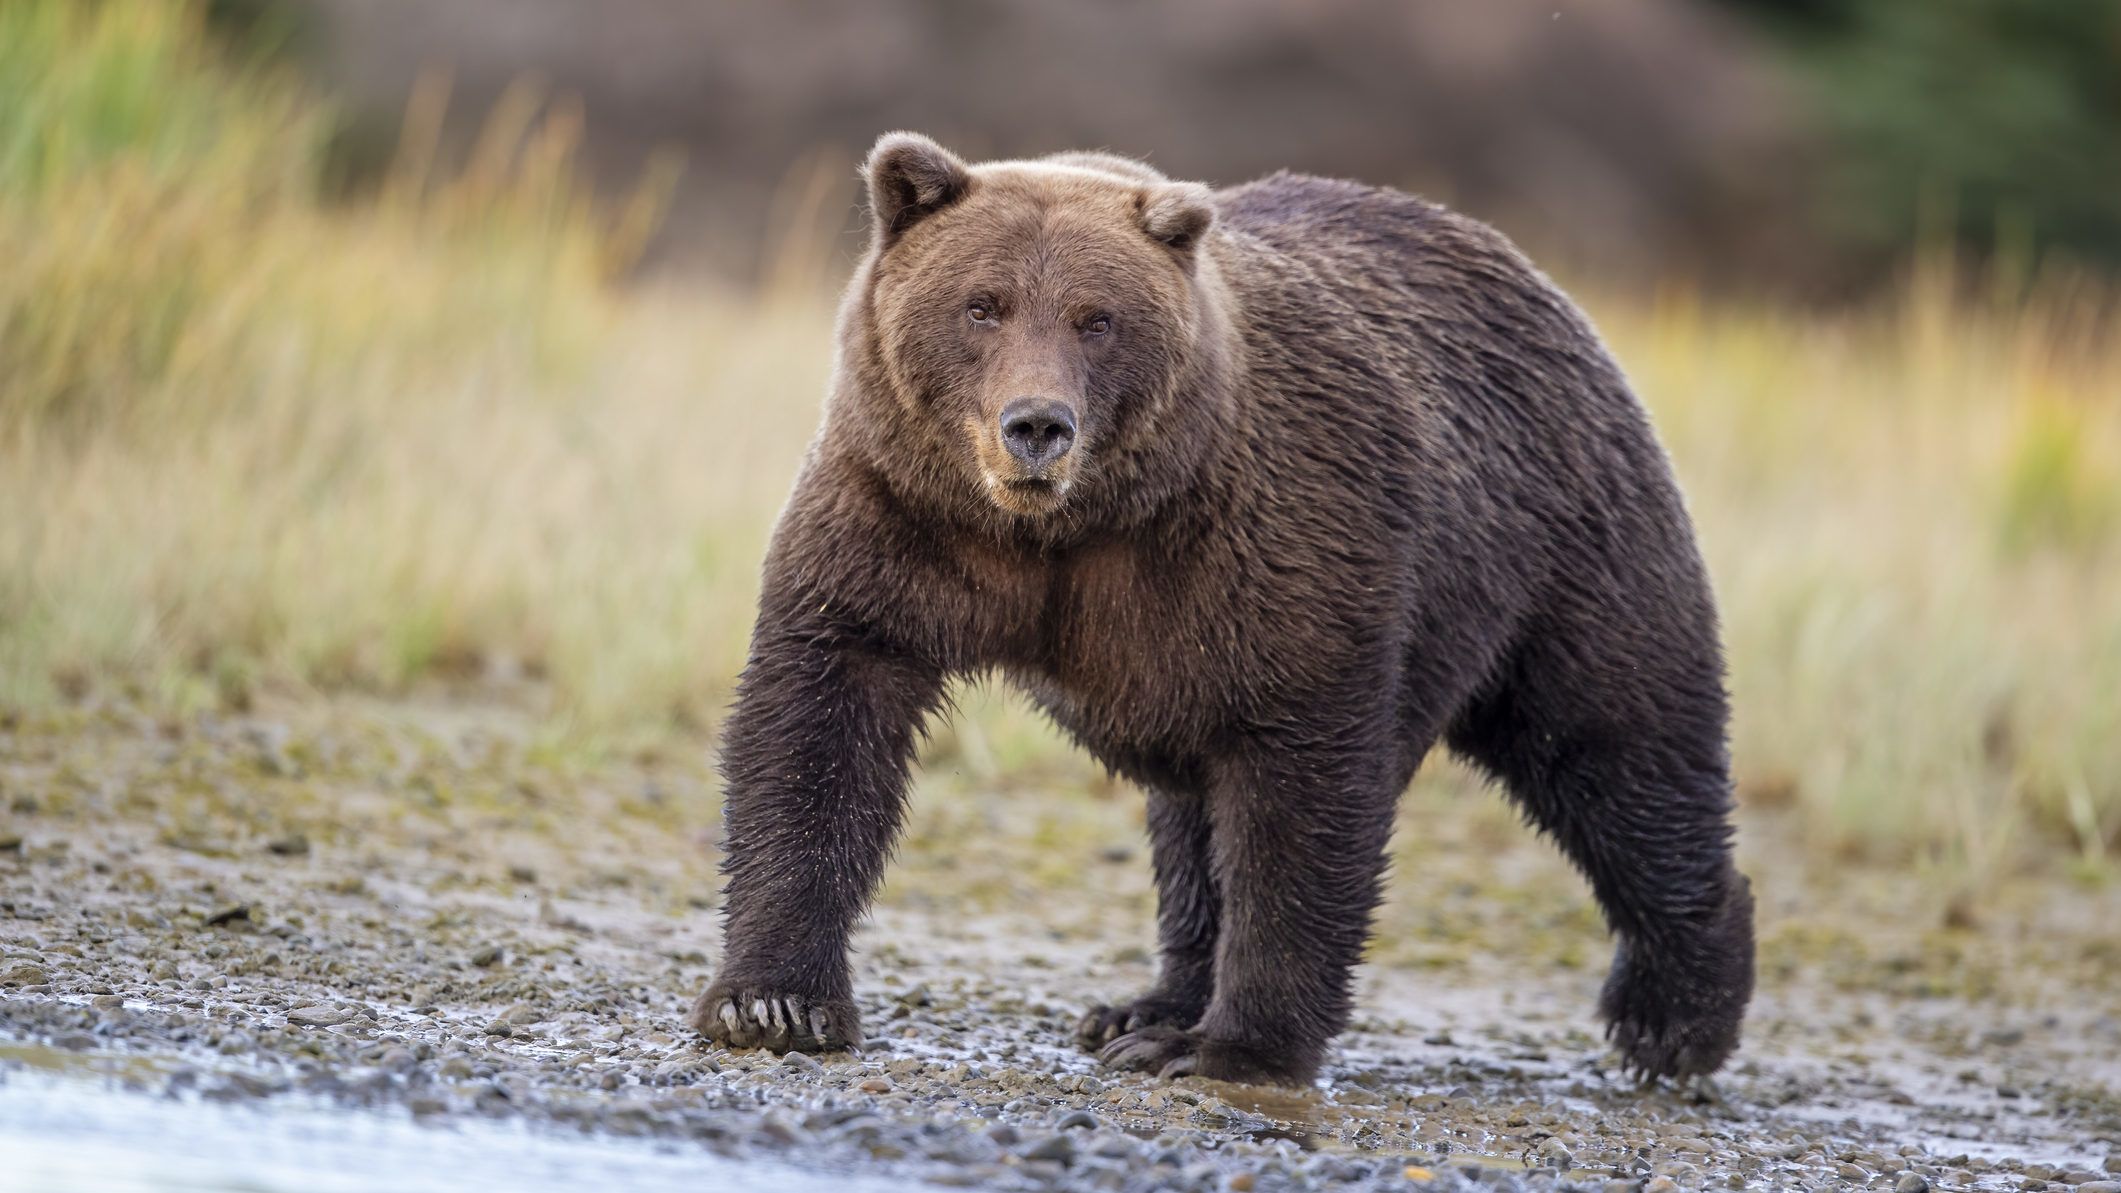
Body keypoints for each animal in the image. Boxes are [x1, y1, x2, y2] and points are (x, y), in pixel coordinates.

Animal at [687, 132, 1747, 1086]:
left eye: (1095, 317)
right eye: (981, 305)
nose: (1037, 425)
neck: (1063, 529)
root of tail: (1543, 286)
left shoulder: (1273, 543)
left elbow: (1301, 788)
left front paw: (1231, 1046)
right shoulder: (900, 517)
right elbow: (820, 720)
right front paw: (772, 1002)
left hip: (1559, 547)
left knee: (1616, 748)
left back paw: (1672, 1020)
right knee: (1190, 818)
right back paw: (1144, 1004)